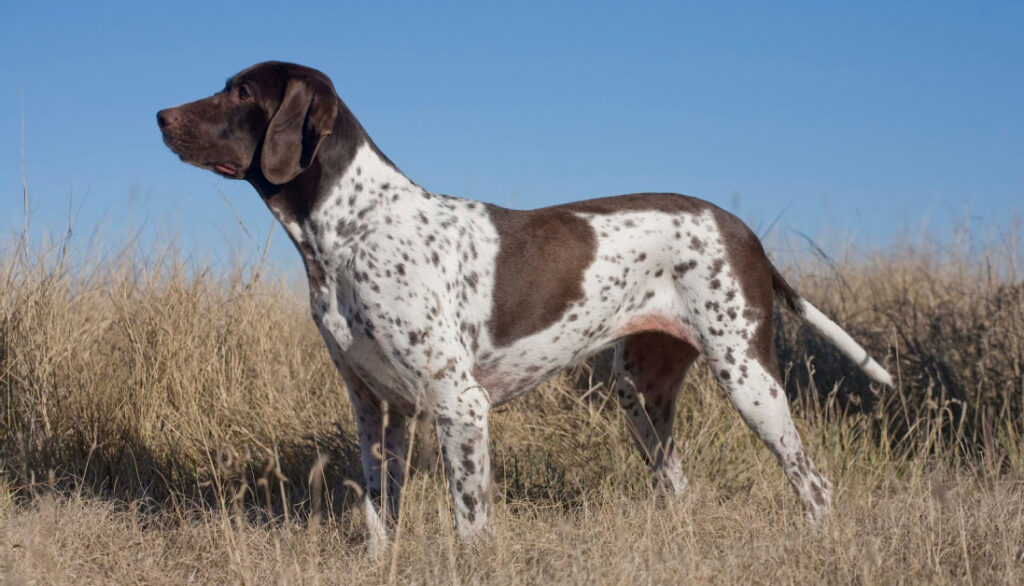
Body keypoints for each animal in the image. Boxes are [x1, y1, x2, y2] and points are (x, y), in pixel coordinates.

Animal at [155, 61, 892, 553]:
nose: (160, 116)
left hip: (747, 376)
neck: (352, 227)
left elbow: (472, 523)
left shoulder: (459, 405)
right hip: (642, 393)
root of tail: (743, 229)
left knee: (814, 485)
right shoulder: (376, 409)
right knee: (677, 485)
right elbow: (378, 515)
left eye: (241, 91)